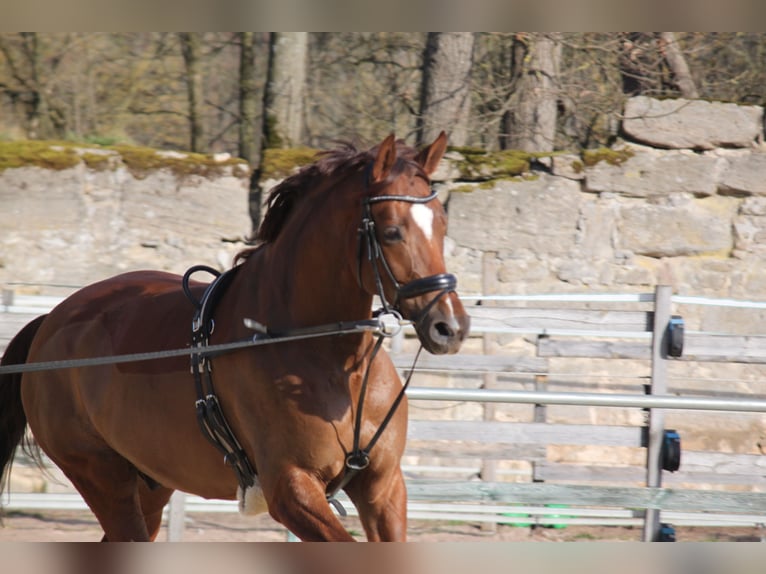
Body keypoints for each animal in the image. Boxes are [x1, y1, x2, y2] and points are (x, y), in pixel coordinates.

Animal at [0, 133, 468, 544]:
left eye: (444, 224)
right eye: (392, 231)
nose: (450, 327)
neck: (332, 364)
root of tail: (52, 321)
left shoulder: (383, 488)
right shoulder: (292, 490)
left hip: (152, 484)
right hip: (101, 476)